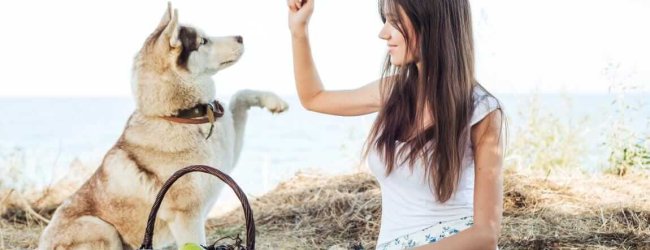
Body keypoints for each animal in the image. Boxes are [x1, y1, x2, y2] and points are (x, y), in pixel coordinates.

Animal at [38, 2, 286, 249]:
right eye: (203, 41)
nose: (240, 37)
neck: (180, 116)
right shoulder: (187, 217)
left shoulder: (229, 156)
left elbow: (240, 95)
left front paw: (274, 101)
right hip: (102, 228)